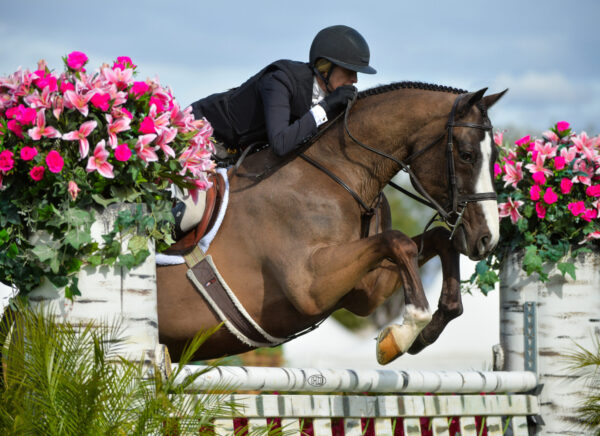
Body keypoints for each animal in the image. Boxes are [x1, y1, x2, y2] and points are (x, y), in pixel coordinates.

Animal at [156, 82, 506, 364]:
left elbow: (438, 240)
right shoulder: (310, 286)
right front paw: (401, 336)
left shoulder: (364, 291)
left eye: (495, 157)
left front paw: (427, 332)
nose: (488, 239)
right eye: (466, 155)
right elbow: (399, 241)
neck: (338, 174)